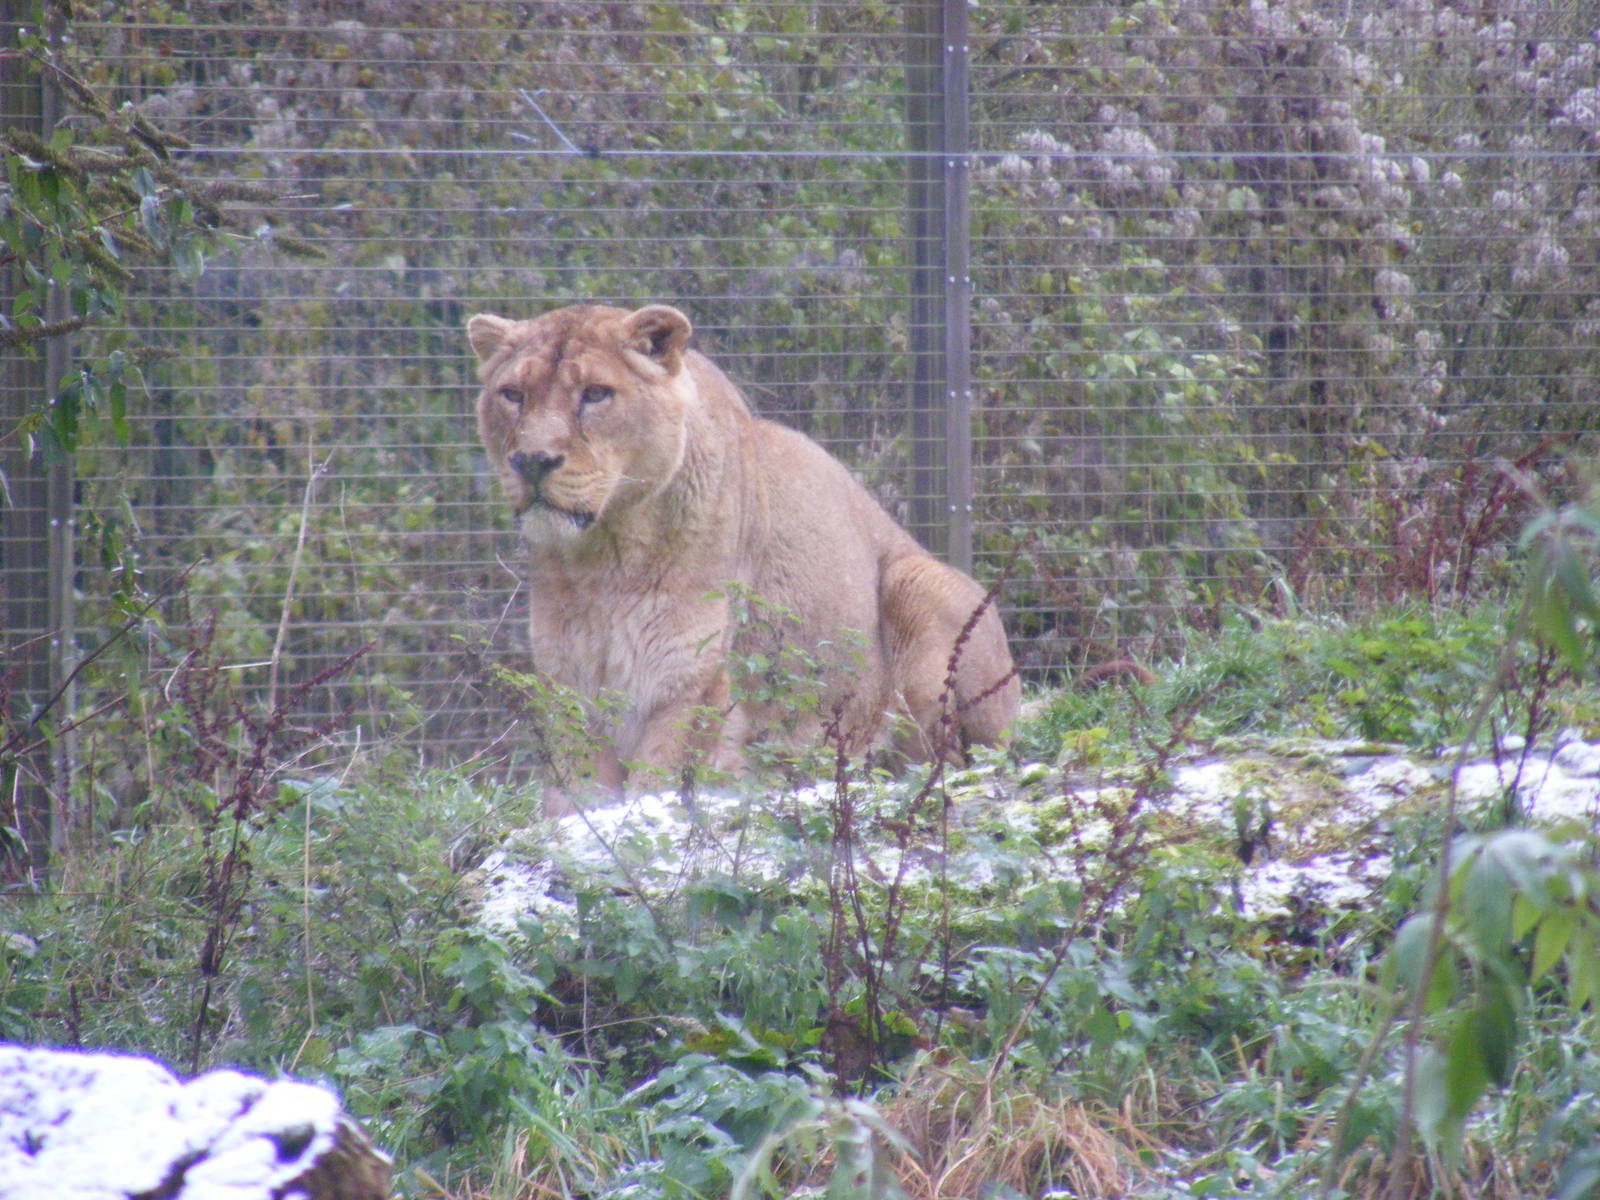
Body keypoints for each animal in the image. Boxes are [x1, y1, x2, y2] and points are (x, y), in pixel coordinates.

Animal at [468, 303, 1019, 814]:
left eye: (596, 394)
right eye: (513, 395)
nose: (531, 461)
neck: (604, 558)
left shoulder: (691, 682)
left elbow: (658, 789)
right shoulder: (570, 690)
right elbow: (574, 799)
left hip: (918, 584)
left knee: (951, 762)